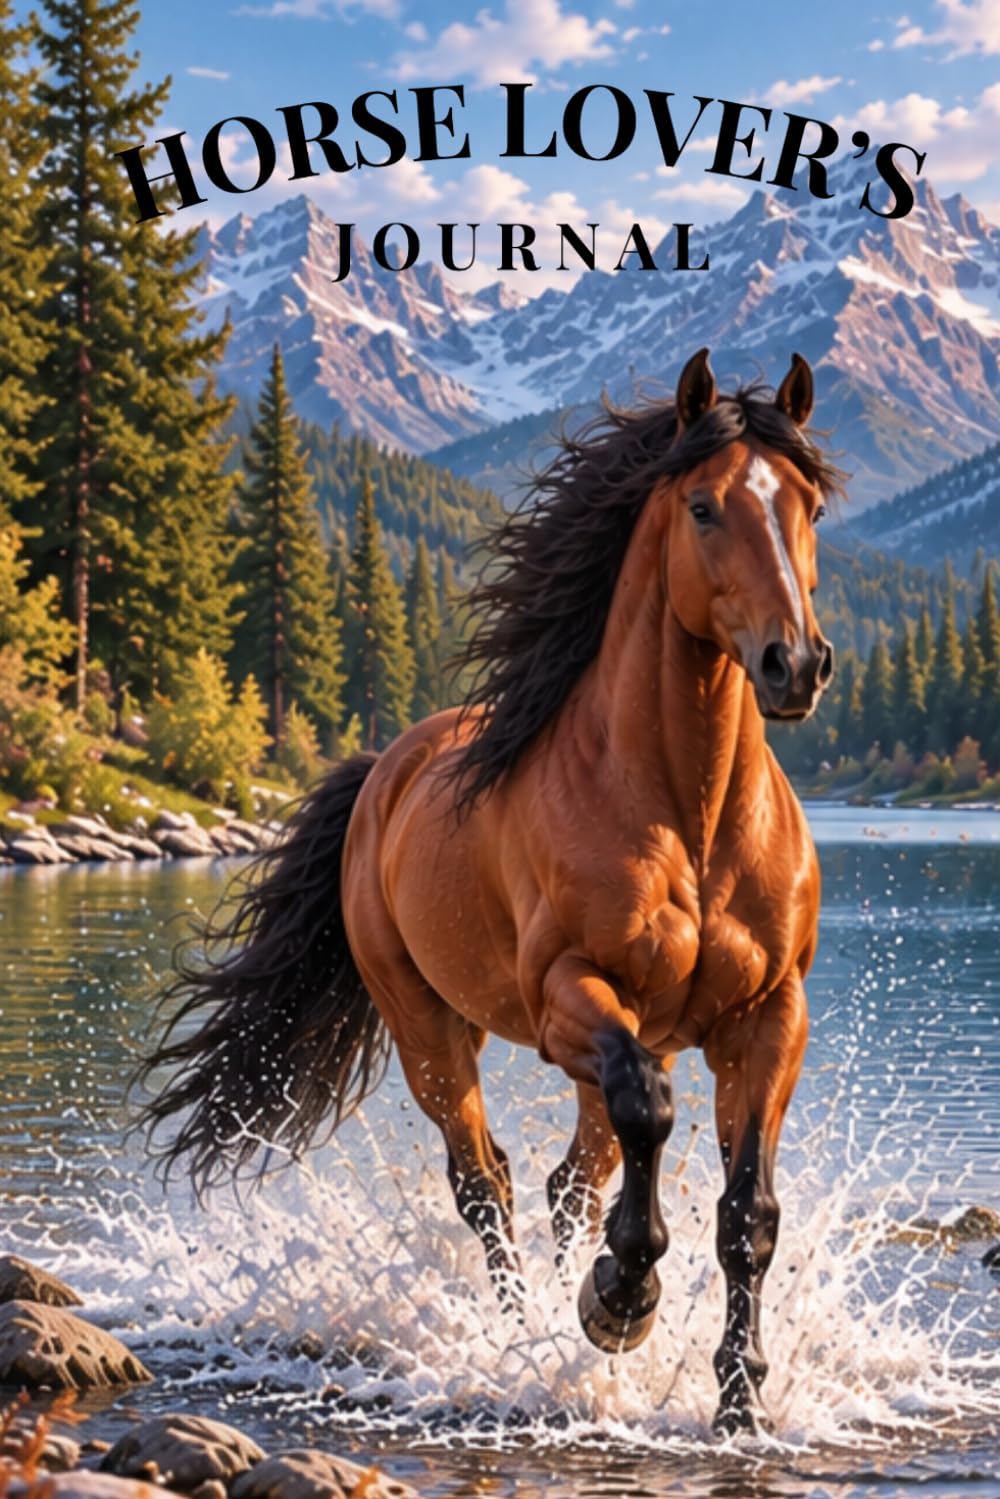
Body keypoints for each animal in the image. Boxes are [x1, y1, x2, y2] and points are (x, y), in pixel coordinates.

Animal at [138, 348, 841, 1436]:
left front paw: (738, 1401)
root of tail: (383, 771)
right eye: (703, 507)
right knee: (490, 1180)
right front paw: (620, 1301)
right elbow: (647, 1111)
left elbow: (746, 1212)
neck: (687, 814)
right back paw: (522, 1331)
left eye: (807, 505)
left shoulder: (769, 1016)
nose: (793, 662)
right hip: (432, 1029)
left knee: (571, 1176)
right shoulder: (566, 997)